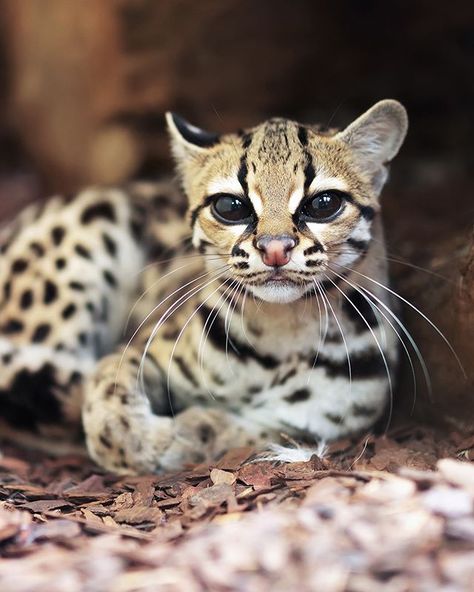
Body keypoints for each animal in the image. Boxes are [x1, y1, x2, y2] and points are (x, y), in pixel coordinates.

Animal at [0, 100, 410, 472]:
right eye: (230, 206)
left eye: (323, 203)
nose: (275, 248)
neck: (282, 331)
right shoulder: (142, 346)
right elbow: (108, 397)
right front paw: (154, 440)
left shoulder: (323, 417)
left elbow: (249, 432)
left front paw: (190, 430)